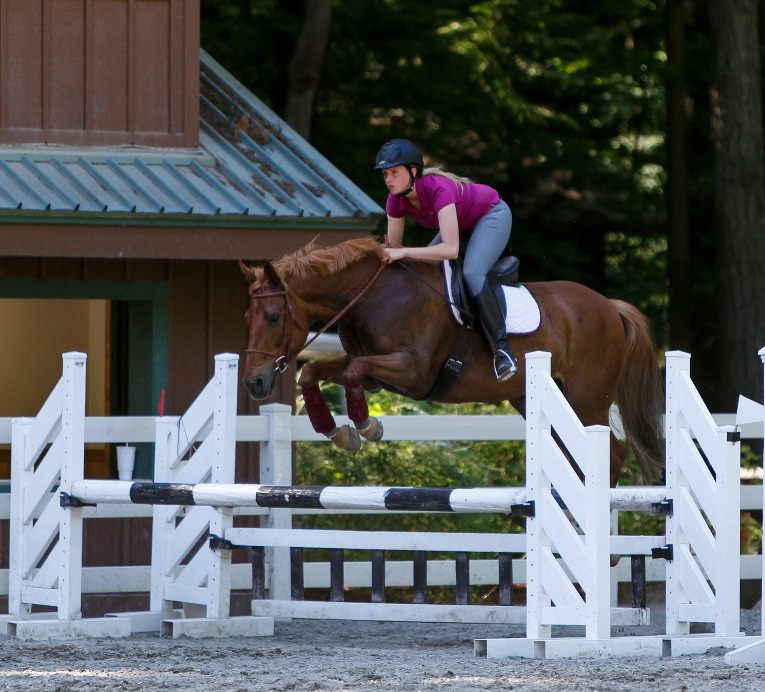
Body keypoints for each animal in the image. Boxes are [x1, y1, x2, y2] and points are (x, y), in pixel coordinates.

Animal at [241, 236, 664, 487]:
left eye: (273, 317)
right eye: (248, 317)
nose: (255, 383)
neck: (371, 296)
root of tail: (611, 307)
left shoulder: (412, 371)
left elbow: (354, 372)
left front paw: (366, 426)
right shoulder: (371, 369)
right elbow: (314, 371)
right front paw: (339, 433)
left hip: (586, 400)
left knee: (610, 454)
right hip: (538, 399)